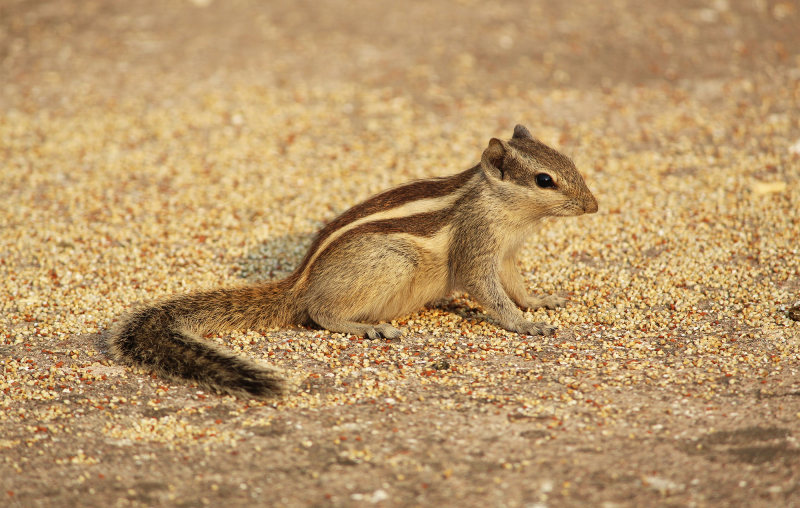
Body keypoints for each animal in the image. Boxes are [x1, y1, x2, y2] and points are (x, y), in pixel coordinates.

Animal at [104, 125, 592, 398]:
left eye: (570, 161)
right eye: (544, 180)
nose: (594, 206)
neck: (503, 207)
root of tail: (299, 283)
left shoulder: (506, 254)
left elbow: (517, 285)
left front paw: (541, 301)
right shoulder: (477, 249)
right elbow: (490, 293)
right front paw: (523, 324)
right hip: (391, 263)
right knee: (319, 313)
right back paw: (366, 327)